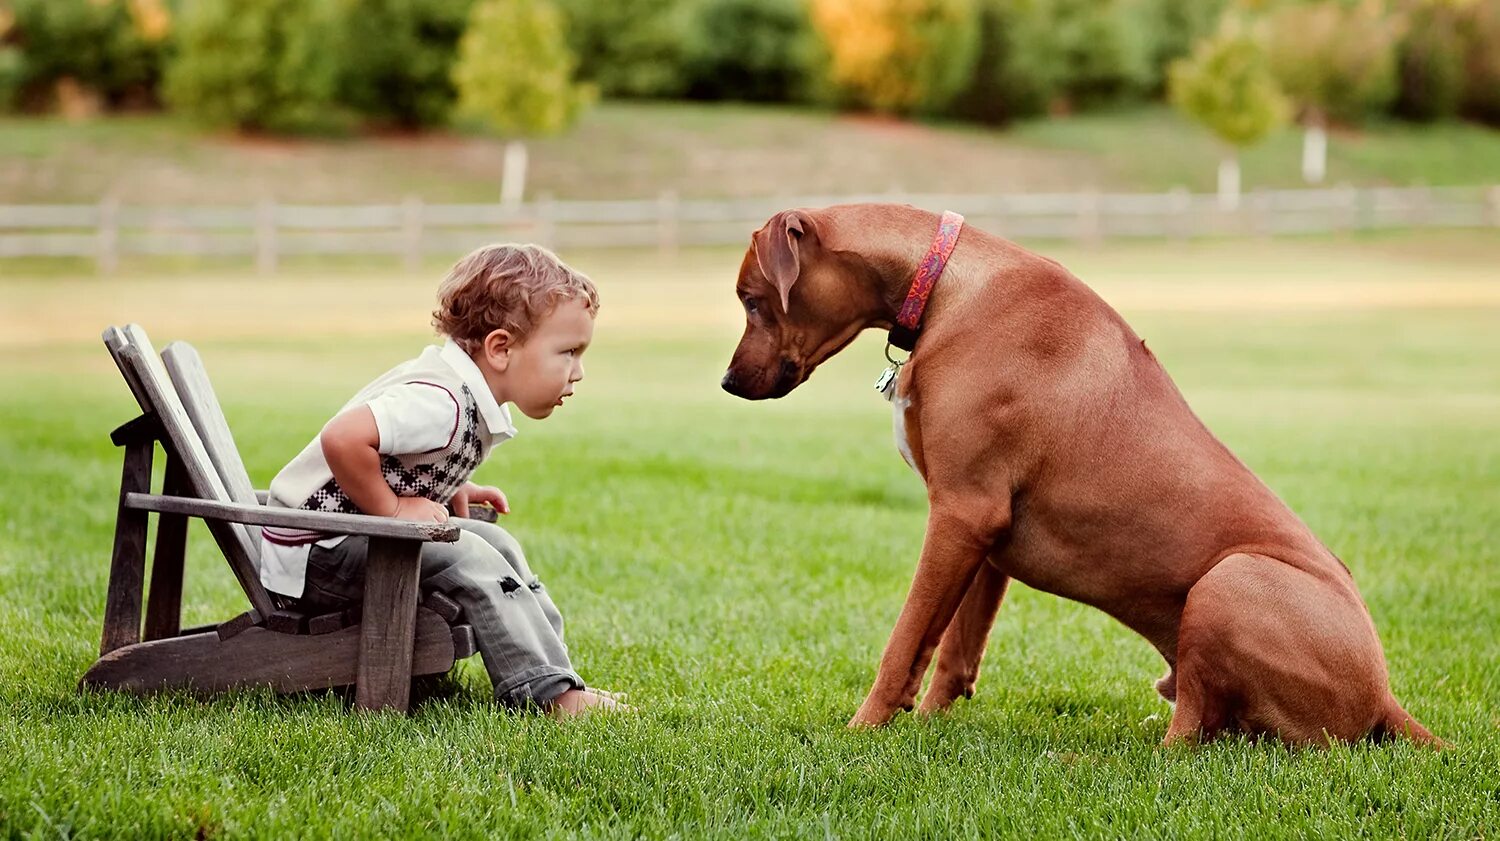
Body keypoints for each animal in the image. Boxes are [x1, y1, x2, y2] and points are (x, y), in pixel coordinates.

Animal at [720, 205, 1434, 746]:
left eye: (752, 301)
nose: (726, 382)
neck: (947, 283)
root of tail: (1384, 698)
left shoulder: (960, 512)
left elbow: (903, 643)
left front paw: (861, 732)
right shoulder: (982, 533)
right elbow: (952, 651)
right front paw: (927, 728)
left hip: (1229, 580)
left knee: (1185, 744)